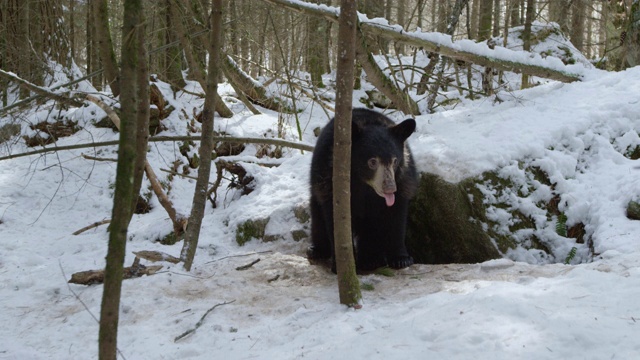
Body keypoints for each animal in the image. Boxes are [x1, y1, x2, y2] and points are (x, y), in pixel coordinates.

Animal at [306, 108, 418, 272]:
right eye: (372, 162)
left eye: (395, 161)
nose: (390, 188)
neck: (365, 186)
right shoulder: (328, 178)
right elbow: (334, 220)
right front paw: (340, 265)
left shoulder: (403, 181)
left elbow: (396, 217)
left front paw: (402, 259)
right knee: (317, 218)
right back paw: (317, 250)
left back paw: (372, 260)